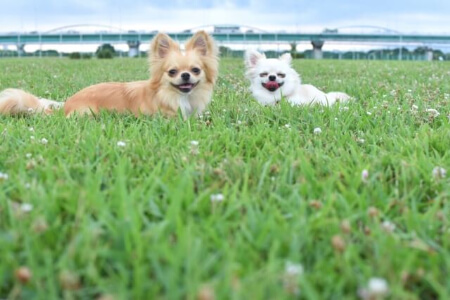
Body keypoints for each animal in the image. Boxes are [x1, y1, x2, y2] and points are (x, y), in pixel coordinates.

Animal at [0, 31, 218, 118]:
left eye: (196, 70)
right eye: (172, 72)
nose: (185, 76)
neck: (179, 97)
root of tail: (66, 106)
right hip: (88, 113)